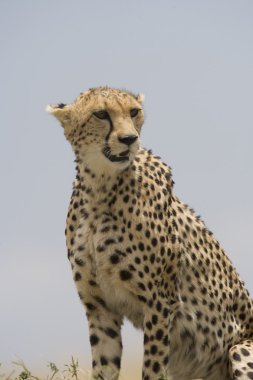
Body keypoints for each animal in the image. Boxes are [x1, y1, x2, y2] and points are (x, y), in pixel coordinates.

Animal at [47, 87, 253, 380]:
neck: (100, 187)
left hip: (238, 348)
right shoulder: (100, 308)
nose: (129, 139)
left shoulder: (161, 303)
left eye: (134, 112)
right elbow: (104, 366)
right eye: (101, 114)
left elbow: (153, 368)